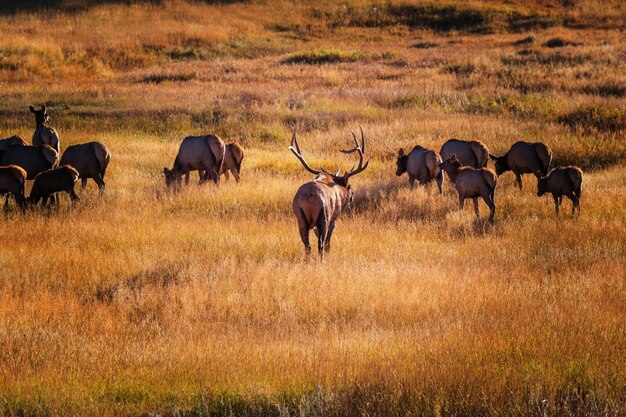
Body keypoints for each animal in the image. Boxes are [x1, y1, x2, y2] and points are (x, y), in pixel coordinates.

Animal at [290, 127, 368, 258]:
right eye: (350, 187)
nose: (352, 196)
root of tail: (310, 196)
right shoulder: (334, 217)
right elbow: (328, 242)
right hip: (324, 215)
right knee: (321, 244)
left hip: (300, 217)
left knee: (307, 246)